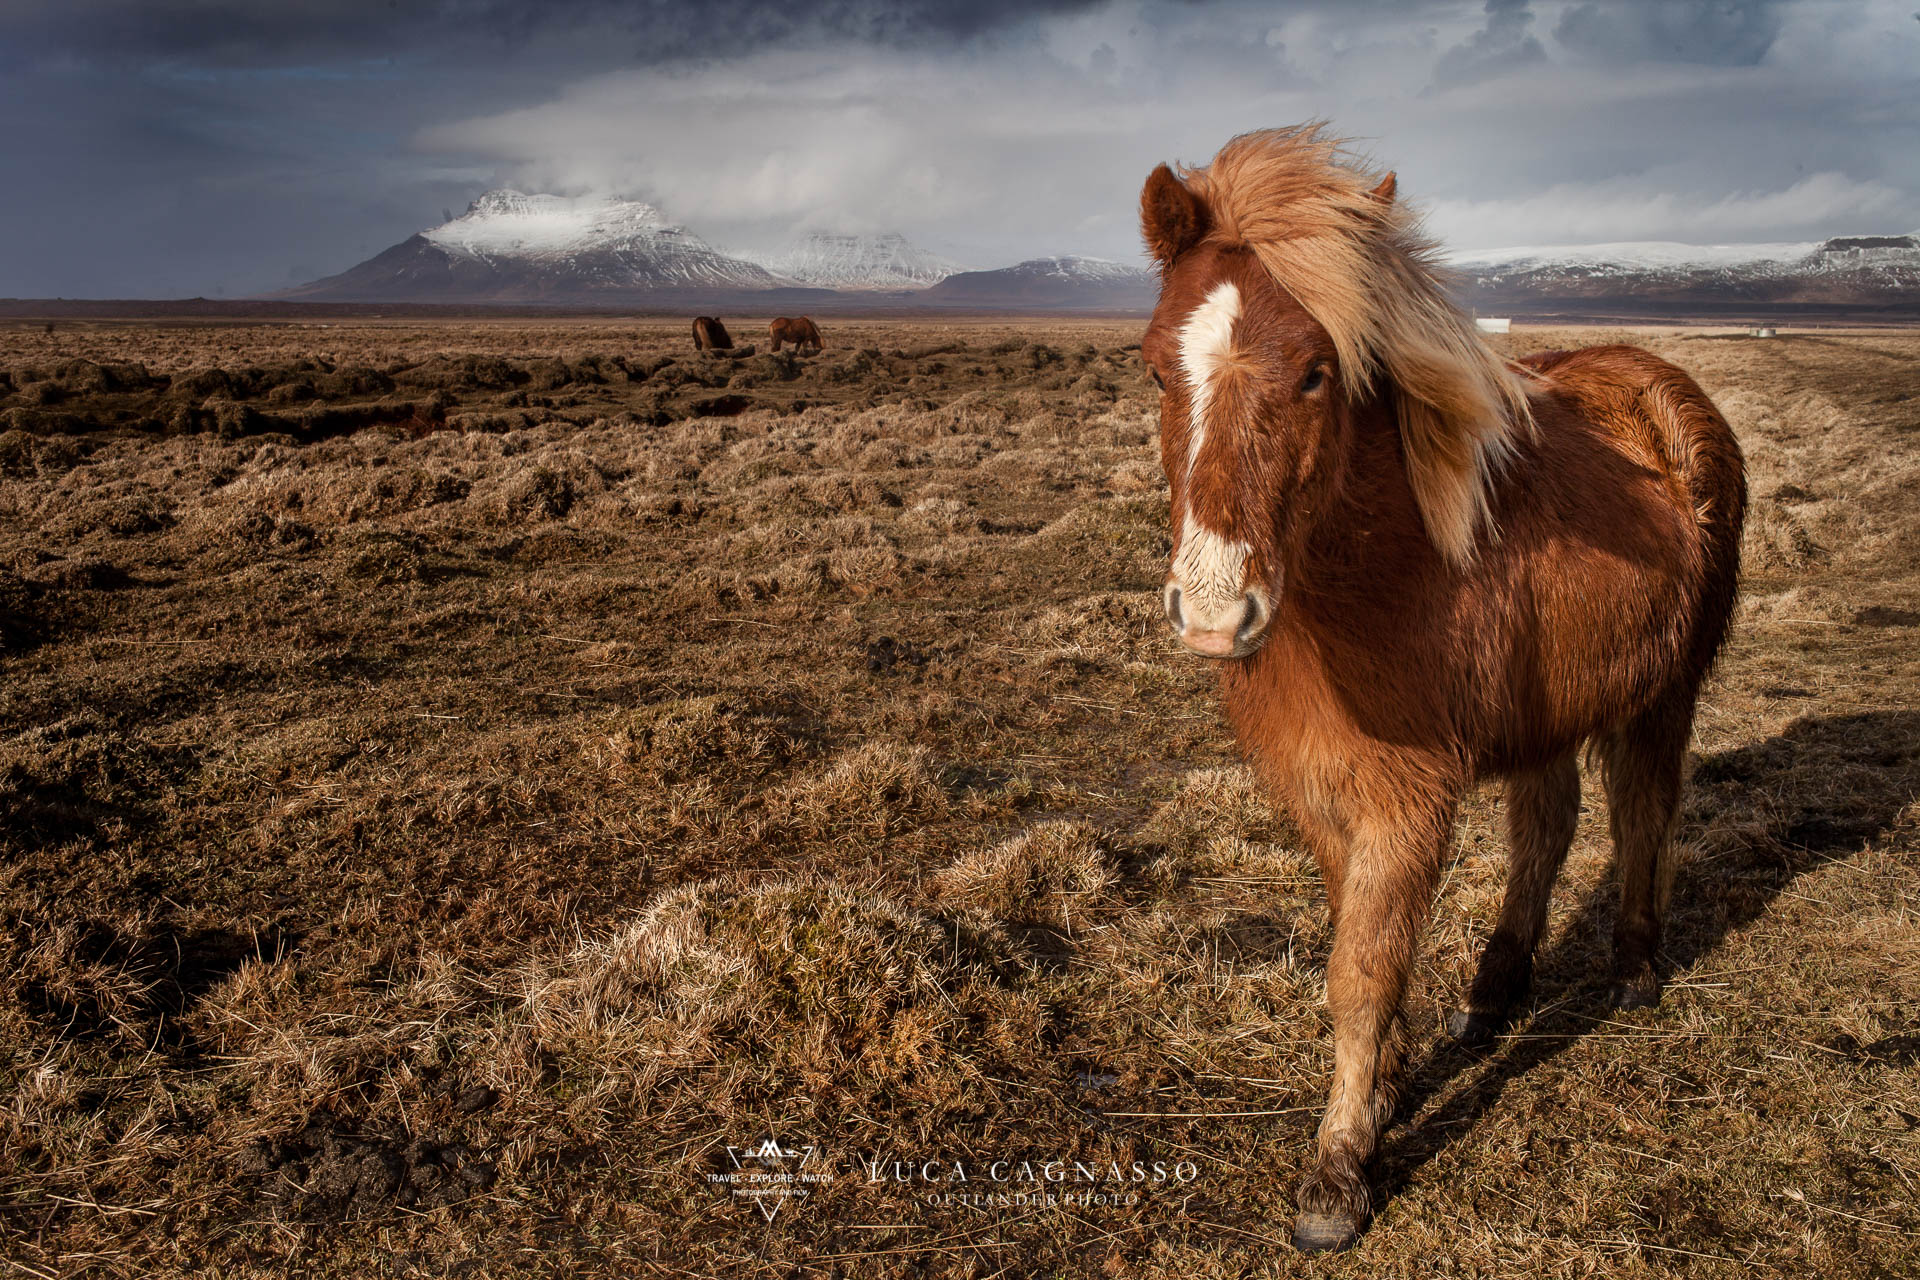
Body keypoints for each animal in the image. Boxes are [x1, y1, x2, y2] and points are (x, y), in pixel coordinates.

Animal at [1136, 125, 1745, 1253]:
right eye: (1157, 369)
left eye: (1318, 373)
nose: (1214, 608)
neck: (1372, 566)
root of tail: (1660, 380)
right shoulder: (1320, 789)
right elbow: (1360, 938)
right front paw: (1383, 1092)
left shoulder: (1405, 799)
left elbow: (1362, 969)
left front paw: (1338, 1172)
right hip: (1547, 709)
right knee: (1547, 824)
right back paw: (1498, 985)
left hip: (1661, 694)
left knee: (1643, 808)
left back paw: (1635, 965)